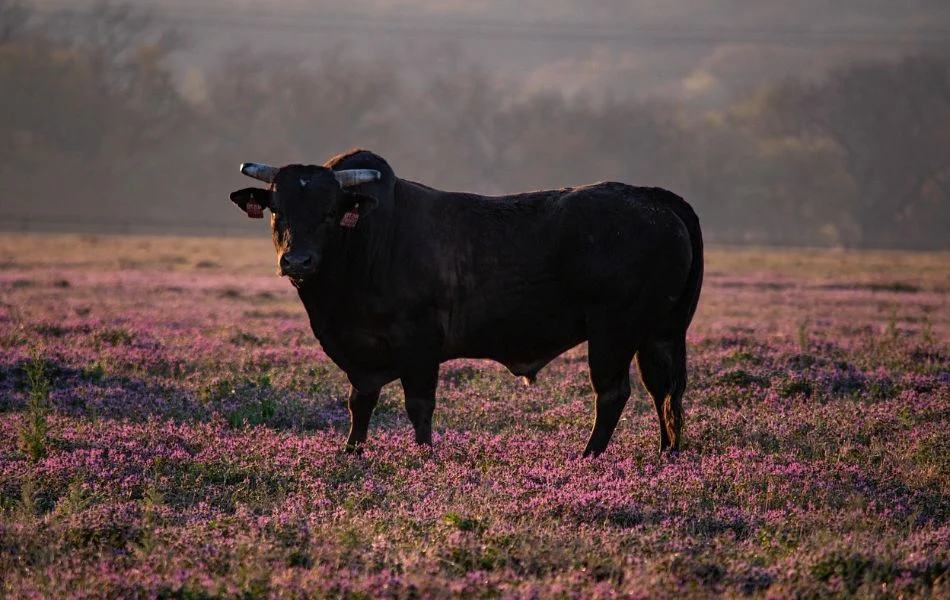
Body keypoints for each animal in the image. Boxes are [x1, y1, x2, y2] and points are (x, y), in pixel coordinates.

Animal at [229, 149, 703, 456]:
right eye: (278, 210)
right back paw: (666, 454)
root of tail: (653, 197)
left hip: (613, 332)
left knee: (613, 393)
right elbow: (359, 404)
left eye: (330, 212)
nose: (297, 261)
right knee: (665, 392)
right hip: (660, 333)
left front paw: (424, 457)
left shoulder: (419, 343)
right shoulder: (363, 355)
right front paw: (351, 452)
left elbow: (419, 405)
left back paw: (589, 456)